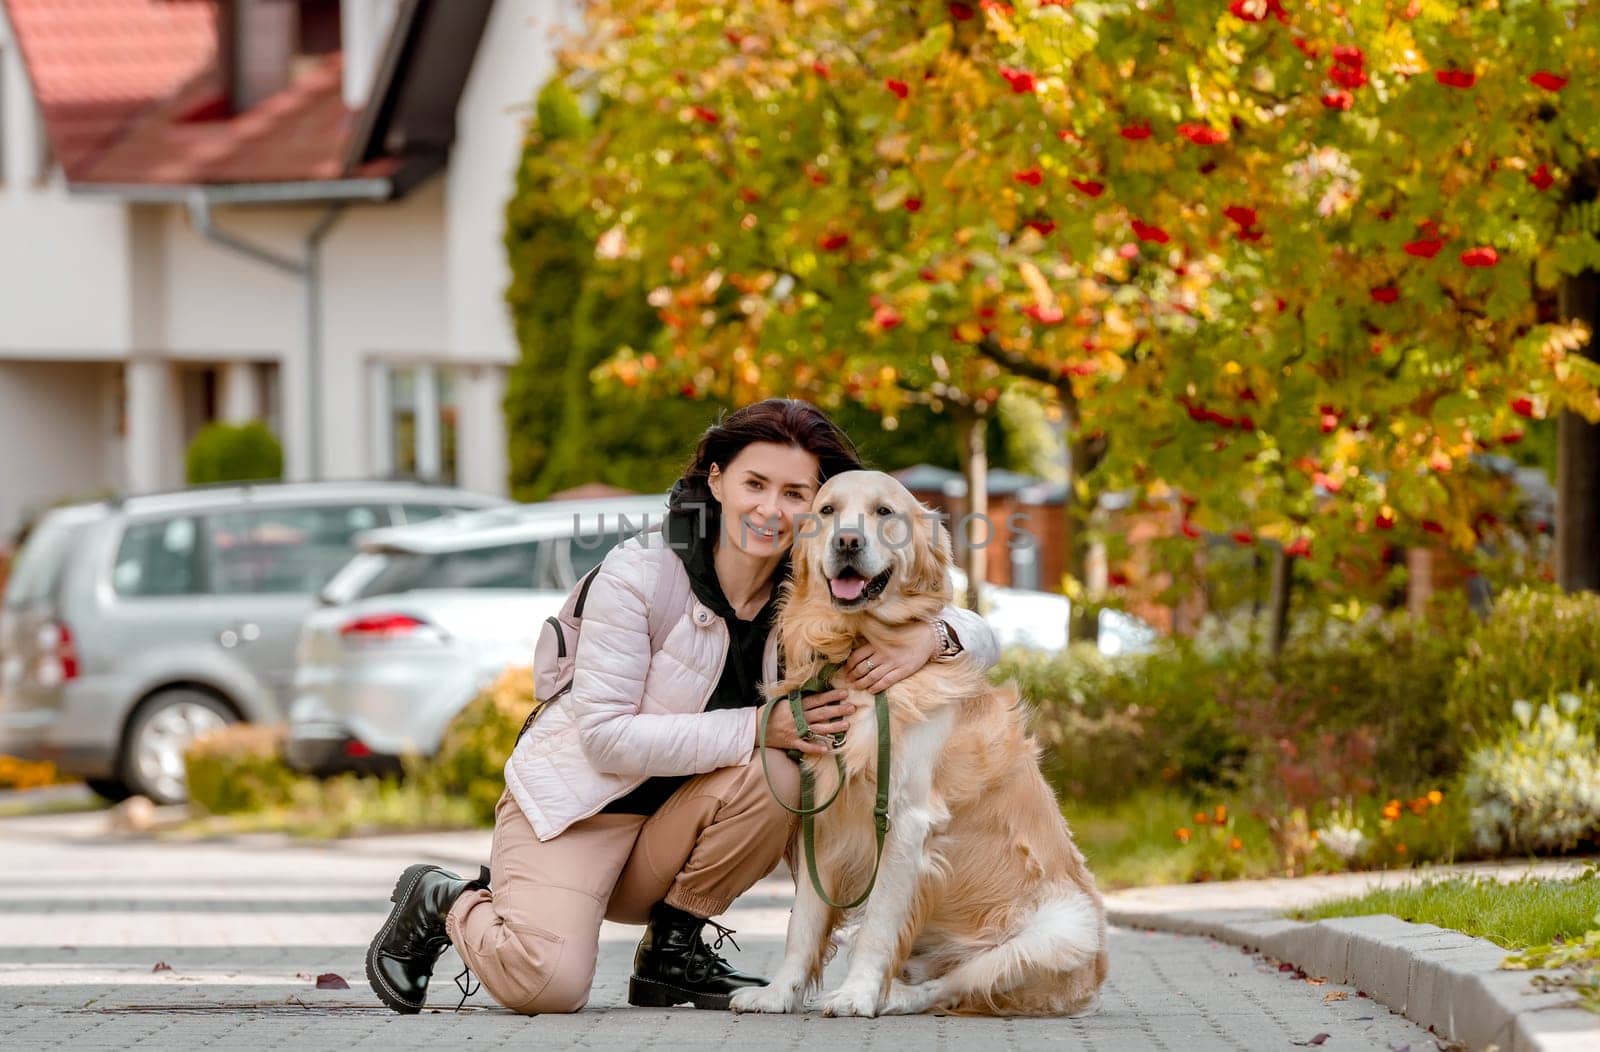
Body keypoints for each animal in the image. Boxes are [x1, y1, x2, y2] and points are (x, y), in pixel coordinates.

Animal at [732, 470, 1107, 1010]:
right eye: (827, 511)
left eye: (884, 512)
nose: (848, 541)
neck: (855, 648)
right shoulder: (820, 816)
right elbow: (802, 922)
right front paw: (780, 992)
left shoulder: (905, 819)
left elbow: (878, 927)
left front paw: (856, 994)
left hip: (1059, 932)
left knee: (945, 987)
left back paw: (891, 998)